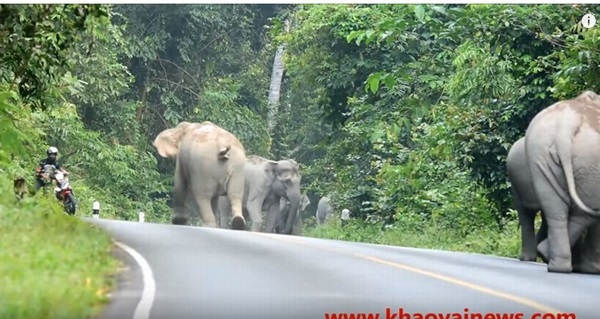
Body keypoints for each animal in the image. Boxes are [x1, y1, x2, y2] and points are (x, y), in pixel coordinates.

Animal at [524, 91, 600, 274]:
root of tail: (567, 124)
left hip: (540, 155)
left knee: (555, 209)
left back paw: (554, 262)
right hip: (591, 159)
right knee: (587, 211)